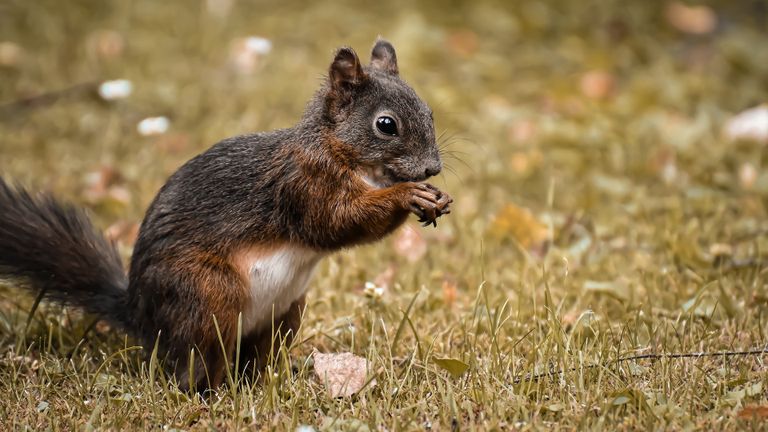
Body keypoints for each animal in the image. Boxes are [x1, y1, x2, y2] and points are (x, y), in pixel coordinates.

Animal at [0, 39, 450, 392]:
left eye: (429, 111)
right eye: (386, 124)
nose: (432, 169)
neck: (341, 152)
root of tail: (141, 316)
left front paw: (436, 198)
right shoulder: (303, 185)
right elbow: (337, 222)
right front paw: (407, 195)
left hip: (285, 313)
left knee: (252, 359)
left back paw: (269, 383)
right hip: (208, 294)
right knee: (195, 363)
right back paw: (212, 393)